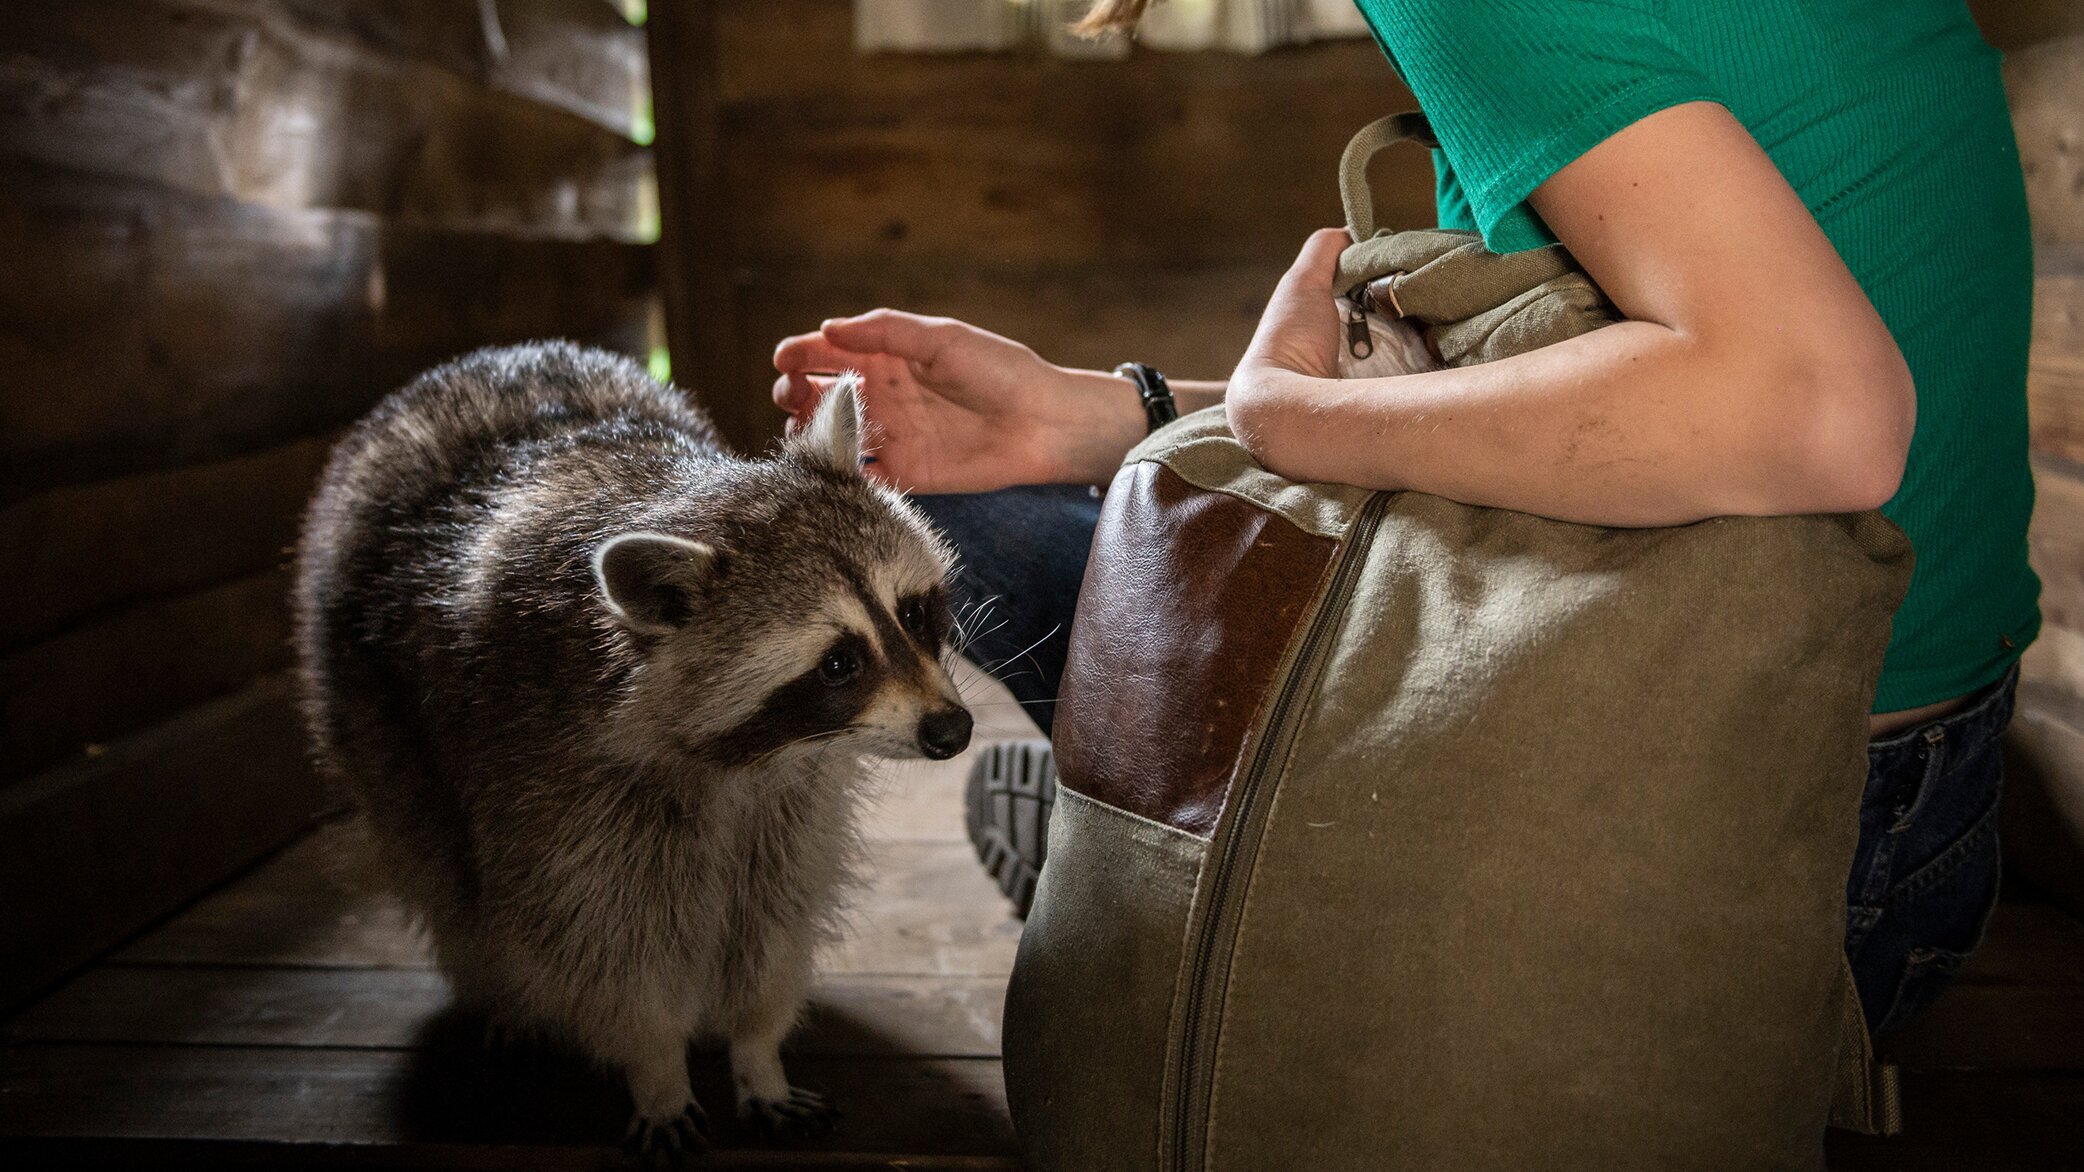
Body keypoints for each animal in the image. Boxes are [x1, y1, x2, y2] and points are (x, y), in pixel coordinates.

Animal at [289, 342, 971, 1151]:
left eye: (912, 612)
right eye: (839, 663)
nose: (952, 730)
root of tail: (469, 361)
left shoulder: (796, 790)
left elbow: (775, 907)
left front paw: (756, 1050)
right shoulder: (544, 764)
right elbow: (601, 937)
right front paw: (656, 1067)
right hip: (368, 707)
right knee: (439, 863)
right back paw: (501, 993)